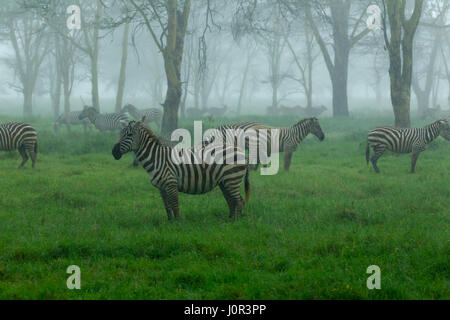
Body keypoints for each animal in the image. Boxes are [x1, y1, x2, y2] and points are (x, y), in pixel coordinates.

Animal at [110, 117, 248, 220]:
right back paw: (229, 218)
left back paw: (236, 221)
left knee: (239, 201)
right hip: (224, 181)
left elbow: (175, 205)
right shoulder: (162, 187)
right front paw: (169, 222)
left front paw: (177, 224)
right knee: (231, 200)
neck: (156, 158)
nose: (114, 152)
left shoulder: (171, 183)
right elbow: (167, 207)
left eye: (129, 134)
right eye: (120, 134)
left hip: (232, 179)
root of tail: (239, 150)